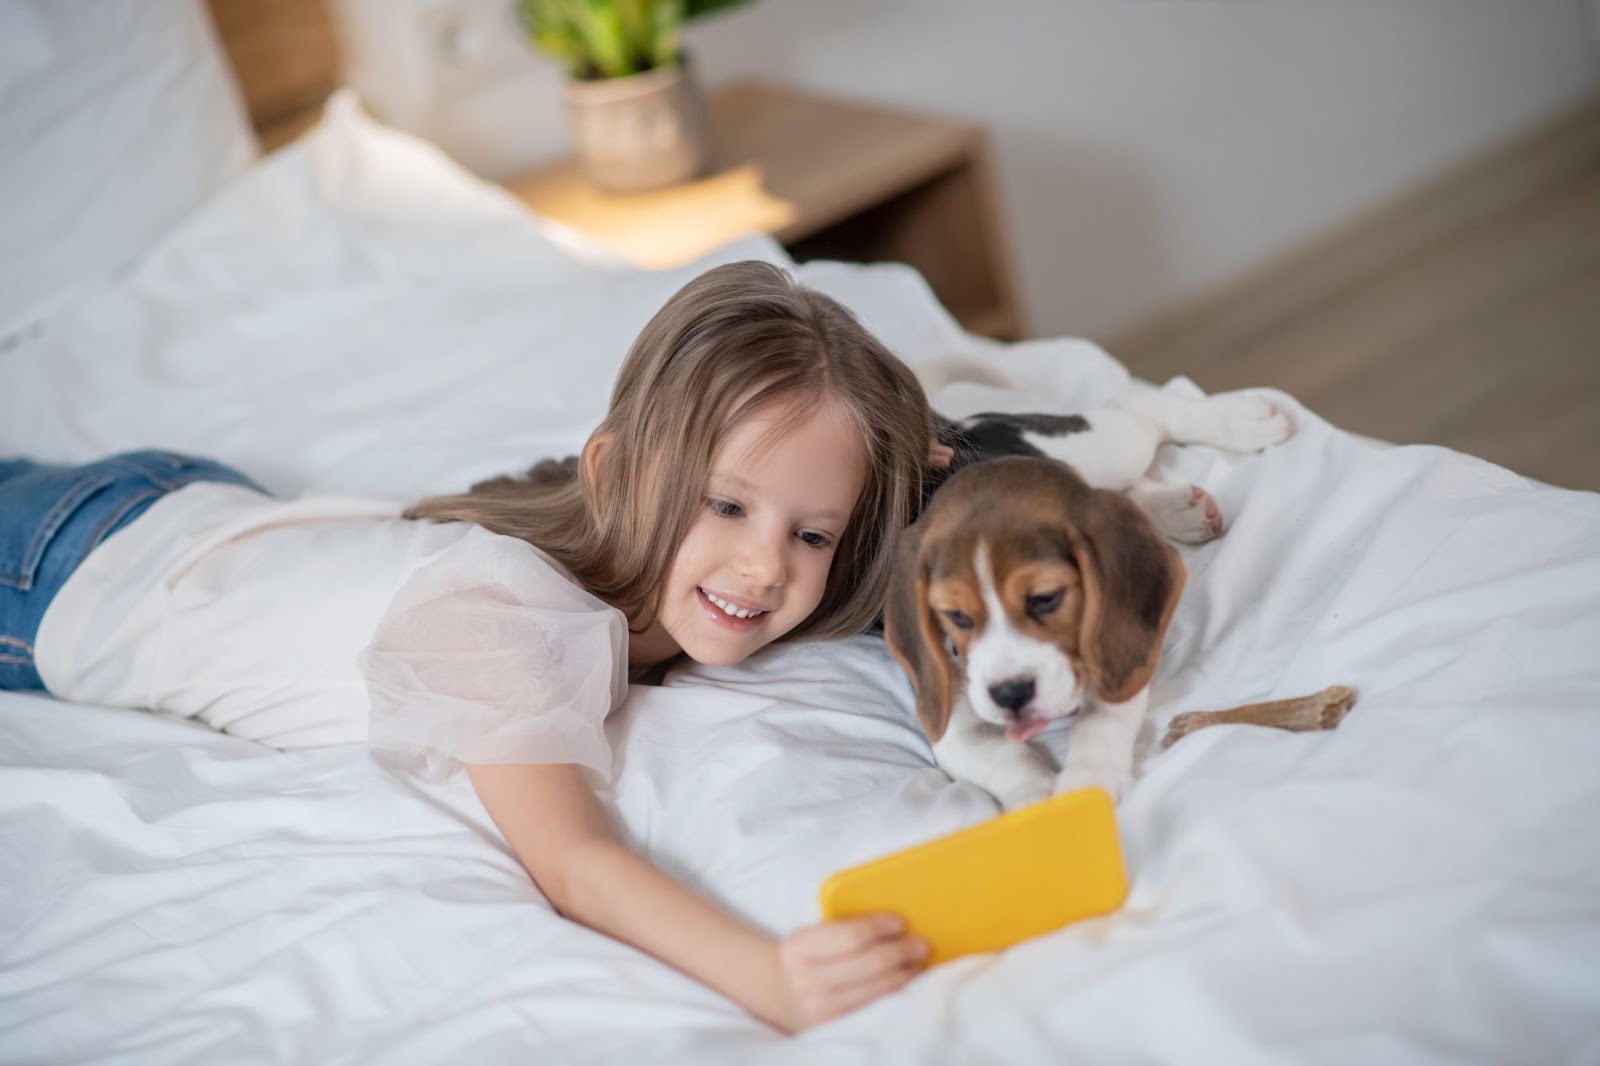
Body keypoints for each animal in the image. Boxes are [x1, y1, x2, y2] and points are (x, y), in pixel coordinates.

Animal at [883, 451, 1184, 809]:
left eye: (1046, 598)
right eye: (956, 615)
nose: (1010, 694)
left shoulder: (1118, 668)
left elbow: (1098, 723)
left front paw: (1086, 787)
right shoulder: (952, 726)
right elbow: (1007, 755)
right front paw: (1038, 802)